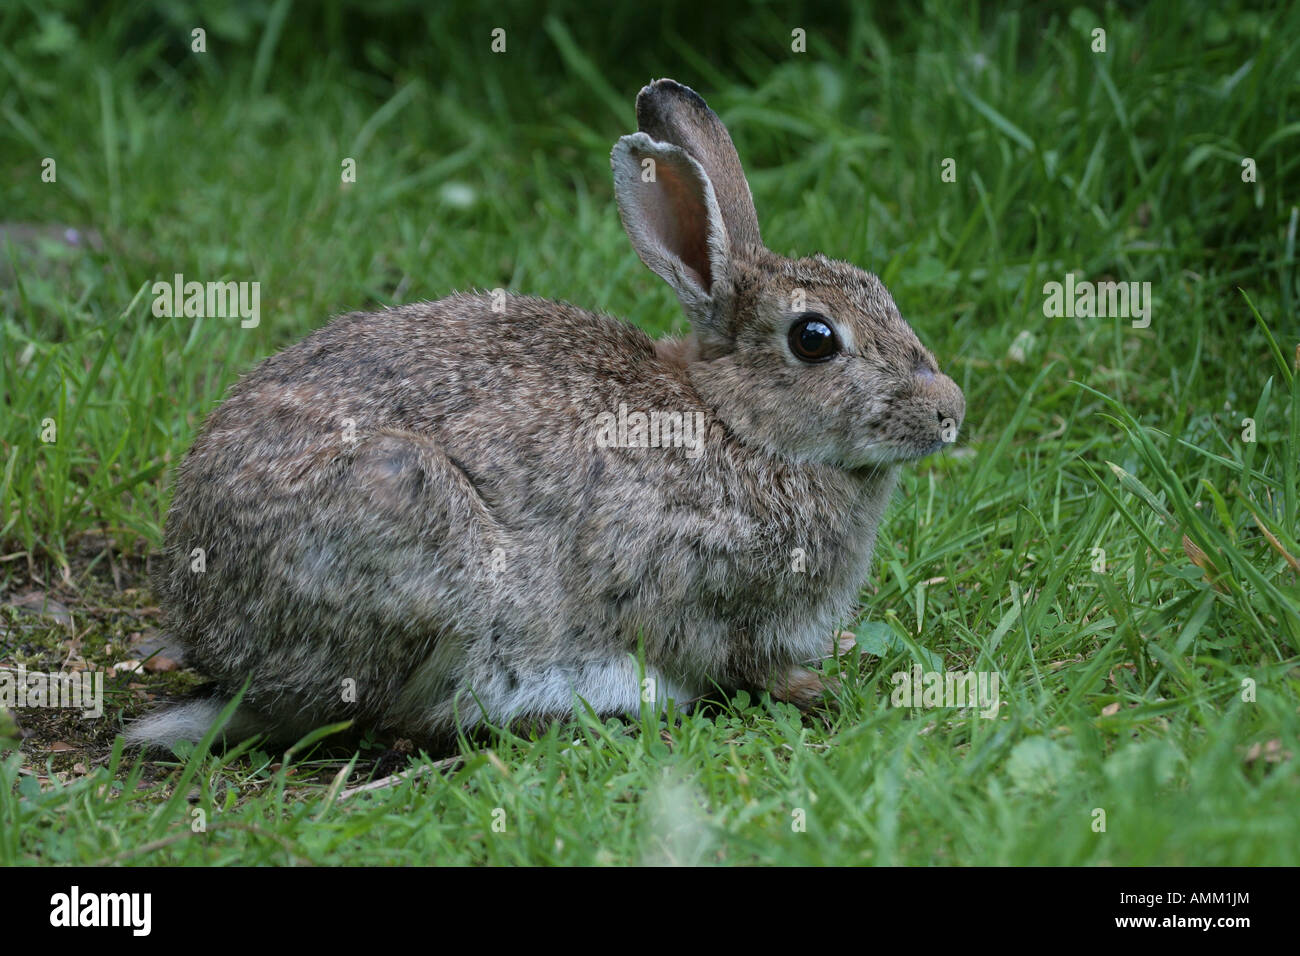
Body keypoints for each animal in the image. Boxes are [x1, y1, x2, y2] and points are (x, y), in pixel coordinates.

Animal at [124, 78, 965, 750]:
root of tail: (221, 640)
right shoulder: (693, 584)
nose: (949, 411)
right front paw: (815, 689)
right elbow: (734, 657)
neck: (736, 422)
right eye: (814, 339)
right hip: (413, 518)